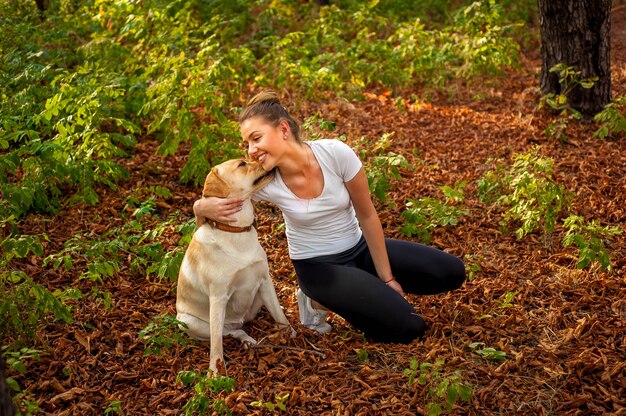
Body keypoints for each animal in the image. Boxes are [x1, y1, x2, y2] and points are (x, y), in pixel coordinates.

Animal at [176, 158, 292, 374]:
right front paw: (215, 371)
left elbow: (279, 315)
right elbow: (216, 344)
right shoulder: (218, 297)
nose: (263, 159)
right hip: (189, 322)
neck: (236, 231)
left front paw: (292, 334)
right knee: (228, 332)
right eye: (242, 164)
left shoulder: (265, 280)